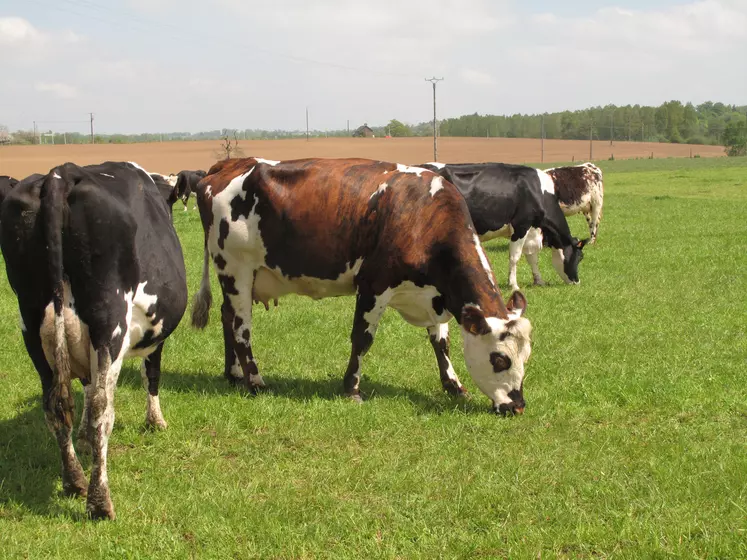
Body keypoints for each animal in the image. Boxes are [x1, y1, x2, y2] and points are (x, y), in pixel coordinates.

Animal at [0, 160, 187, 520]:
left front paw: (85, 438)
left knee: (54, 405)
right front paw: (156, 421)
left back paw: (74, 480)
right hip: (109, 323)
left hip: (31, 326)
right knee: (103, 407)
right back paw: (100, 502)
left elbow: (86, 388)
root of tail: (60, 174)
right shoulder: (154, 336)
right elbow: (150, 375)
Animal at [190, 158, 536, 416]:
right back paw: (255, 382)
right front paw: (352, 389)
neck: (421, 215)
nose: (518, 407)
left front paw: (454, 386)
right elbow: (362, 339)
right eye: (500, 359)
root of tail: (233, 163)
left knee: (226, 317)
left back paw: (234, 375)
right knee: (241, 327)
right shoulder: (374, 285)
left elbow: (441, 343)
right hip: (236, 268)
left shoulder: (435, 295)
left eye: (527, 357)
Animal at [418, 162, 588, 290]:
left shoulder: (531, 230)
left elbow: (532, 257)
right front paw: (513, 284)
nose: (577, 282)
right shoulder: (521, 225)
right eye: (580, 257)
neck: (538, 191)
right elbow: (515, 257)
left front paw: (538, 280)